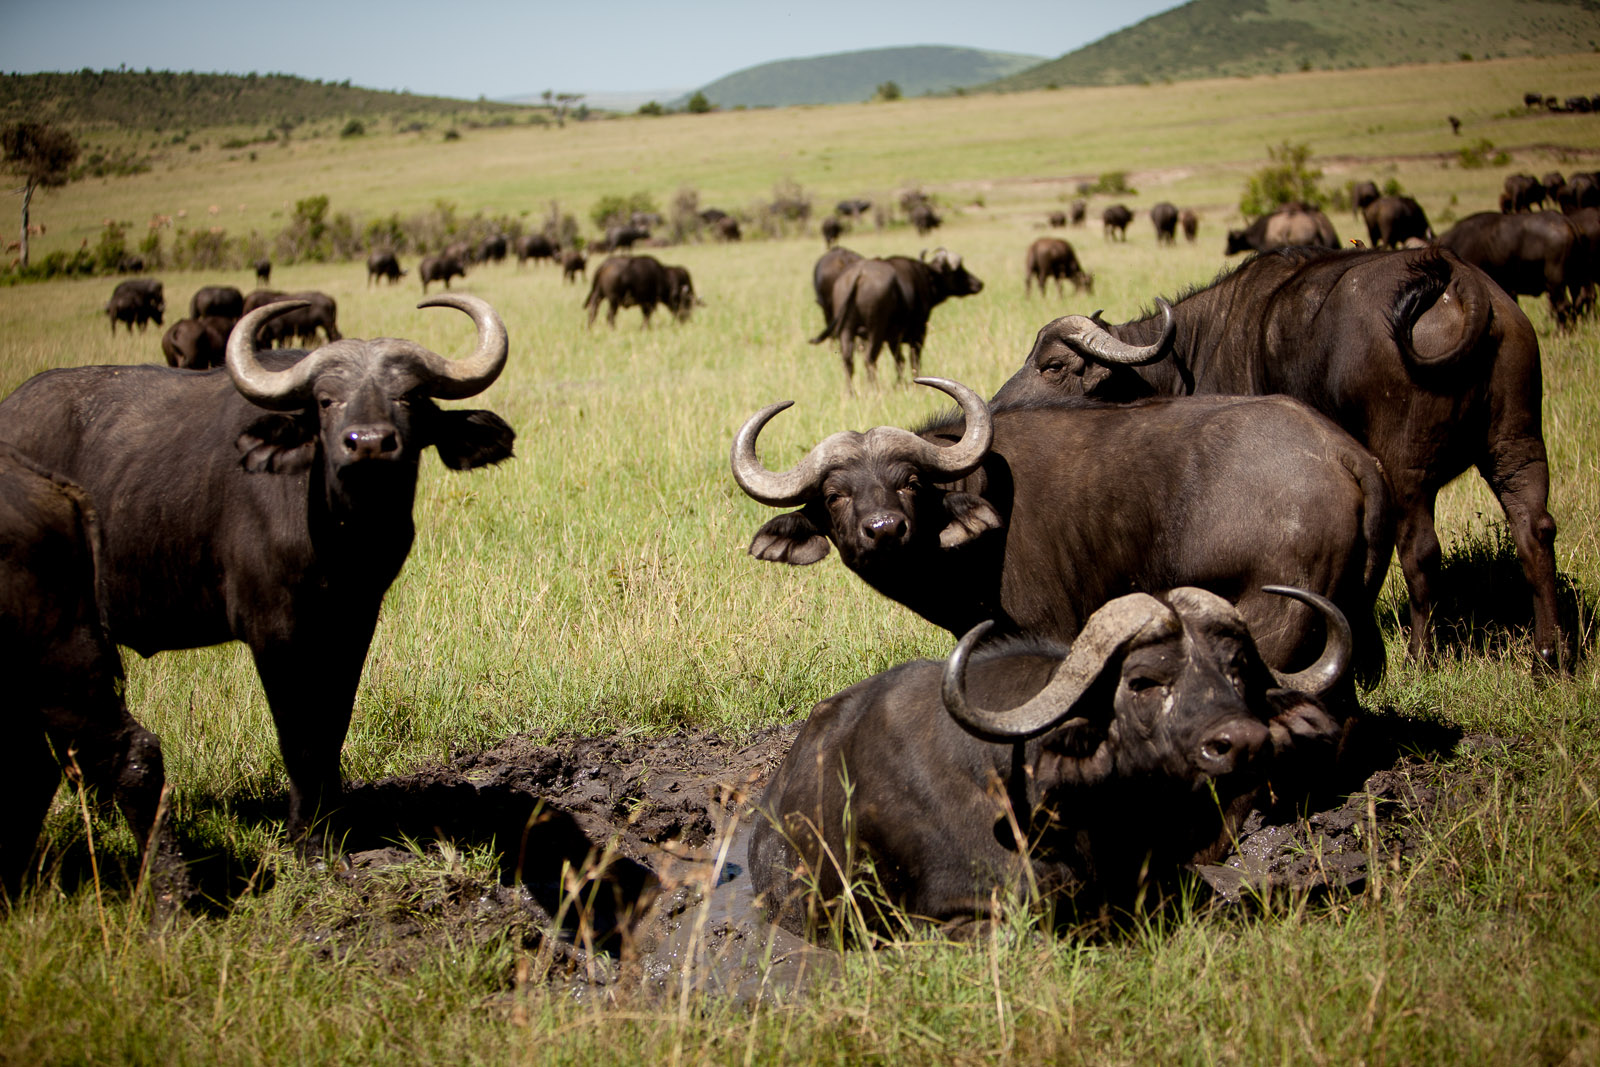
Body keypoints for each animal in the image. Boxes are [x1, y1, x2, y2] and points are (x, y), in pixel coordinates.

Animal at [0, 295, 515, 844]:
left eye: (411, 396)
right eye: (326, 401)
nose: (370, 442)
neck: (343, 538)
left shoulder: (353, 621)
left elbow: (333, 723)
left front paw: (334, 817)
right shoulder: (275, 631)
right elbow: (300, 733)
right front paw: (308, 833)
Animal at [998, 246, 1561, 671]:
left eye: (1054, 365)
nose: (999, 405)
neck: (1190, 353)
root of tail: (1461, 282)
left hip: (1408, 470)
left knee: (1422, 554)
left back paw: (1422, 658)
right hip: (1517, 447)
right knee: (1534, 532)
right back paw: (1551, 657)